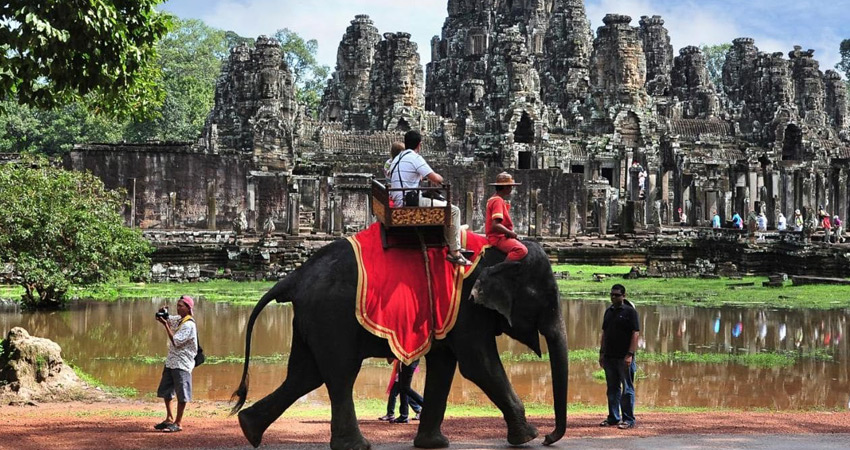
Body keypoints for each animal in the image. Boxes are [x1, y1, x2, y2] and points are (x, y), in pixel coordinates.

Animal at [229, 237, 568, 448]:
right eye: (546, 299)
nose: (550, 438)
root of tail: (294, 277)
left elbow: (445, 364)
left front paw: (434, 445)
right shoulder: (466, 309)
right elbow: (478, 364)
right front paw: (528, 437)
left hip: (311, 318)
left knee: (305, 374)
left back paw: (248, 428)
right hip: (331, 315)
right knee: (339, 374)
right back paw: (356, 446)